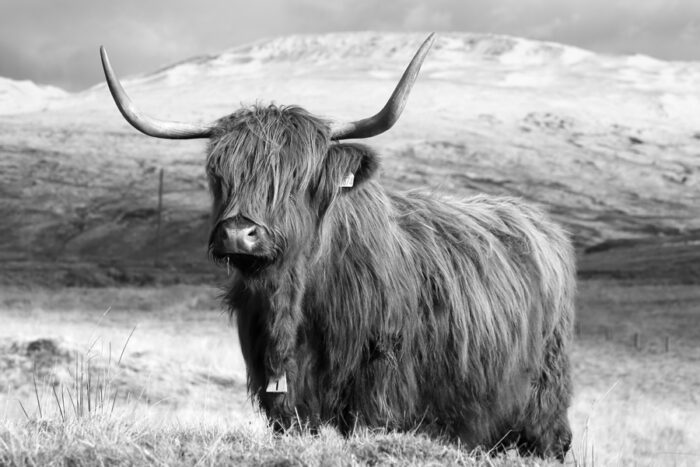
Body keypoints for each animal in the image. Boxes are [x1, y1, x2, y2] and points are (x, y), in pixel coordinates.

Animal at [100, 34, 575, 460]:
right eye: (219, 174)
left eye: (297, 177)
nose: (238, 233)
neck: (294, 298)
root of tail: (541, 223)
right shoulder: (280, 391)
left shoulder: (381, 387)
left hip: (544, 400)